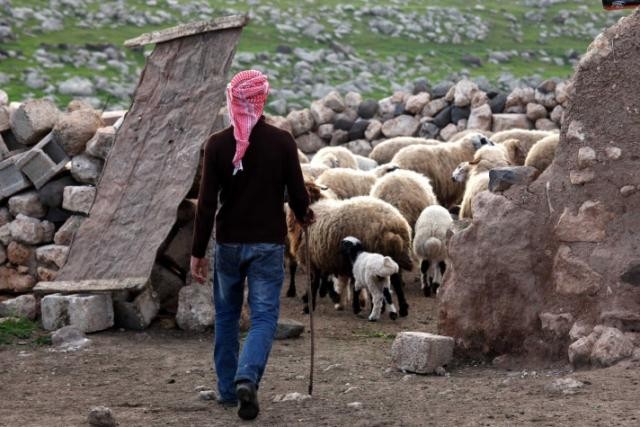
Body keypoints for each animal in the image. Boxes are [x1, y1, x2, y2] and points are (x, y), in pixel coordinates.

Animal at [286, 181, 416, 318]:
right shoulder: (327, 260)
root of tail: (395, 226)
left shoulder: (314, 259)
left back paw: (377, 310)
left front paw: (310, 306)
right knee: (397, 282)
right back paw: (402, 309)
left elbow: (314, 284)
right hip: (392, 258)